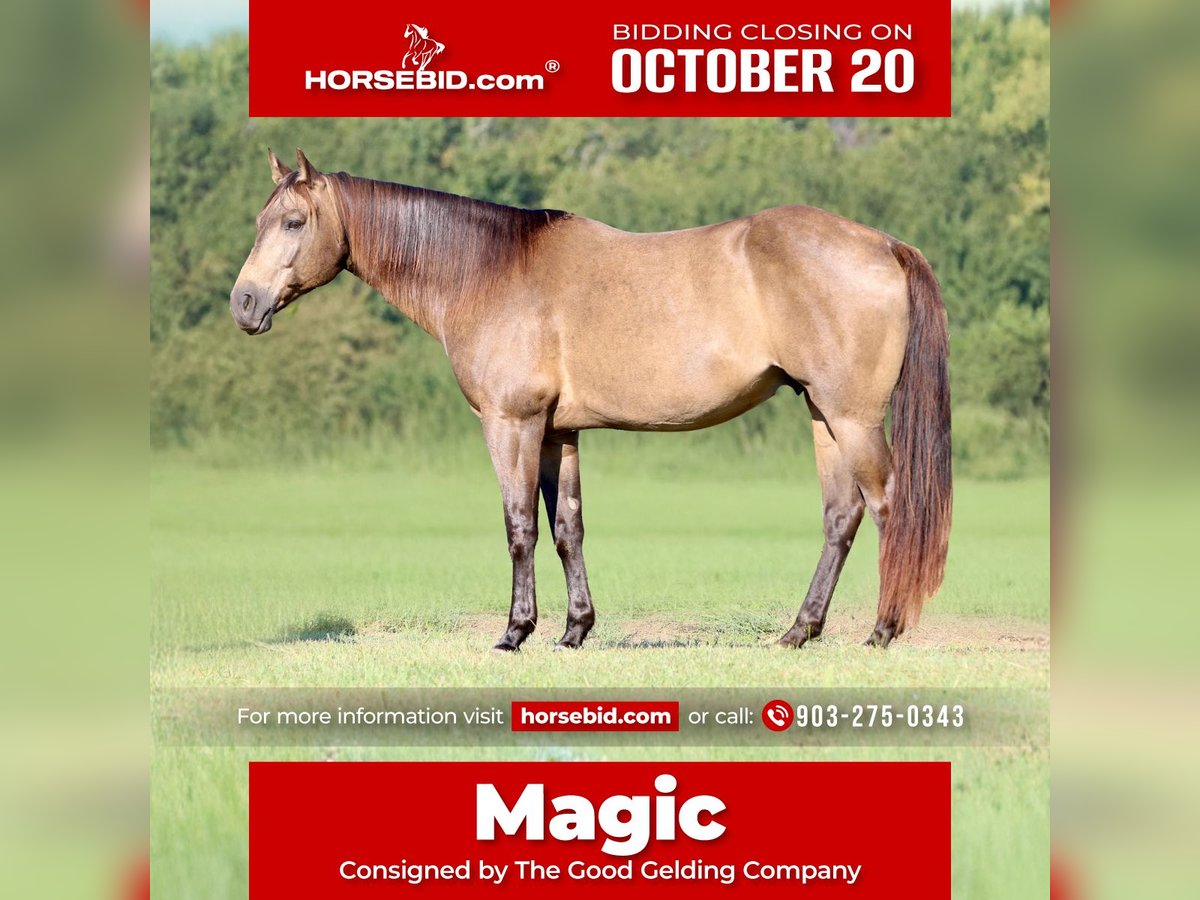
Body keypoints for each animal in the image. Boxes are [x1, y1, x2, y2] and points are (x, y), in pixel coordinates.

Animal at [230, 149, 952, 652]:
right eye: (260, 220)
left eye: (293, 222)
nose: (243, 303)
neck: (490, 272)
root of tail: (884, 244)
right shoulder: (559, 433)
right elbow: (567, 528)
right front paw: (575, 629)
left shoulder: (512, 424)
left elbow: (519, 526)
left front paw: (515, 631)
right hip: (822, 414)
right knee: (841, 516)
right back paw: (801, 631)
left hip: (852, 418)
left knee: (889, 507)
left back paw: (883, 630)